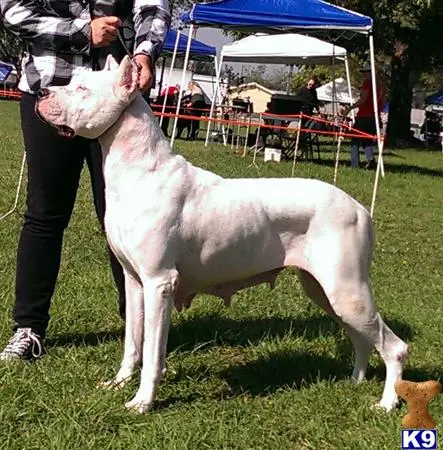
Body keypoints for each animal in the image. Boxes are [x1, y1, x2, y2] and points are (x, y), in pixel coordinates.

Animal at [36, 56, 408, 414]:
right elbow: (133, 342)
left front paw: (143, 402)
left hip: (347, 290)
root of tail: (360, 208)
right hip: (324, 290)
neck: (141, 171)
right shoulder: (134, 281)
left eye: (82, 88)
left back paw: (387, 403)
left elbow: (153, 353)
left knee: (395, 347)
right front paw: (119, 383)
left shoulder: (159, 282)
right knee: (362, 338)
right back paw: (355, 380)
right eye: (72, 81)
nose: (41, 92)